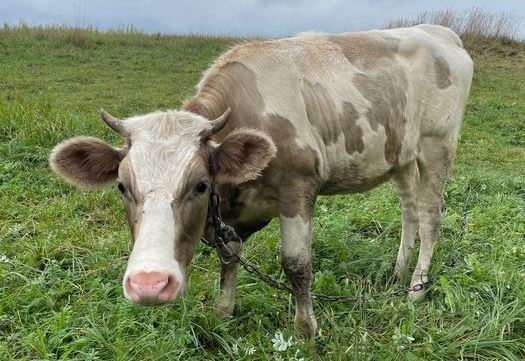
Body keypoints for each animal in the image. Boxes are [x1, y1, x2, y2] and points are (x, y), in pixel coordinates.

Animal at [50, 23, 474, 336]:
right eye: (121, 187)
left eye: (200, 184)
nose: (150, 284)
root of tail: (440, 32)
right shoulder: (232, 212)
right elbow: (229, 256)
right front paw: (223, 313)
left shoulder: (298, 188)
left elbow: (297, 264)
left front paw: (306, 330)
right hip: (400, 155)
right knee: (409, 210)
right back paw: (398, 272)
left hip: (438, 145)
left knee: (431, 216)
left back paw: (416, 288)